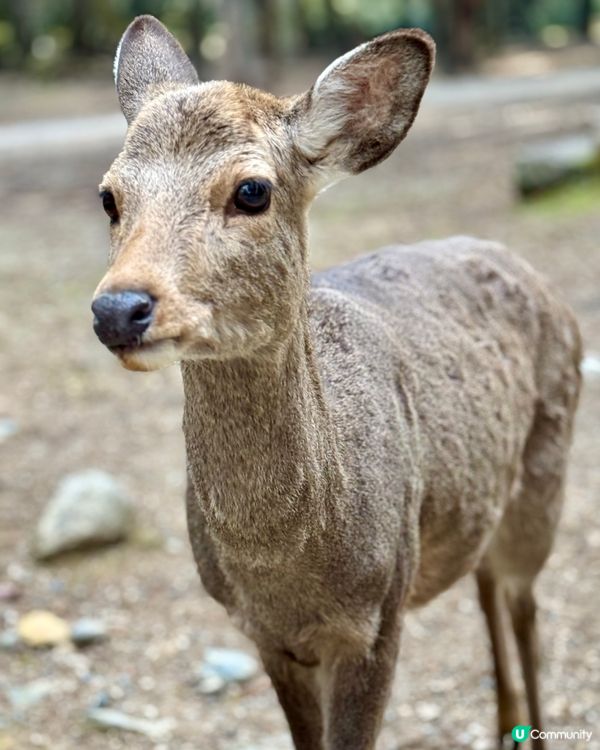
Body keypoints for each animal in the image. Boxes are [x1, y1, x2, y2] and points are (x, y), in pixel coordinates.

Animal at [90, 15, 581, 750]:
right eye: (109, 196)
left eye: (252, 190)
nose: (119, 308)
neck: (287, 573)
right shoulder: (263, 635)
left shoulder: (379, 614)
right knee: (486, 584)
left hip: (546, 477)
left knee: (525, 603)